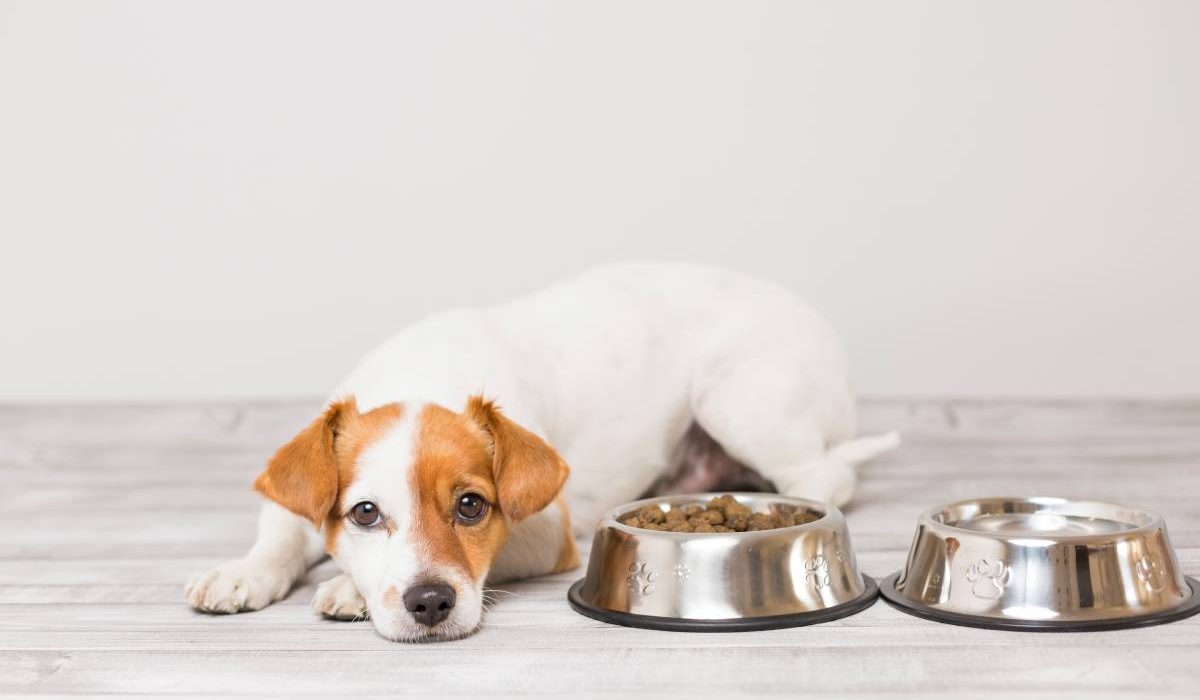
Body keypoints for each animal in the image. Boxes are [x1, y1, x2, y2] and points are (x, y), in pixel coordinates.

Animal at [184, 261, 902, 638]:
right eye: (364, 513)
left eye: (472, 506)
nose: (429, 603)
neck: (421, 376)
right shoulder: (298, 500)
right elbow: (281, 534)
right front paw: (242, 572)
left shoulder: (546, 531)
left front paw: (348, 587)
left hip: (739, 400)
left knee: (826, 474)